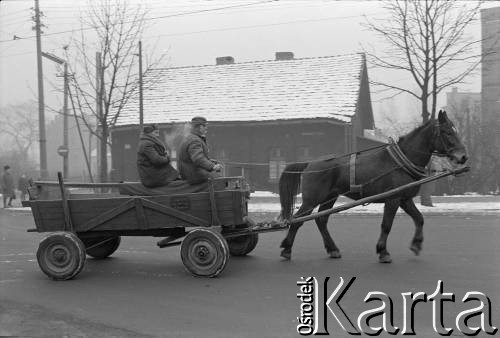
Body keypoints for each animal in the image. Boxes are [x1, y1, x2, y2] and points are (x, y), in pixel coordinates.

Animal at [280, 109, 466, 262]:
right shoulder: (393, 199)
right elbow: (386, 225)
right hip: (312, 199)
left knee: (321, 220)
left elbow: (419, 219)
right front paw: (383, 251)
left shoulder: (405, 199)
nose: (463, 156)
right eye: (447, 132)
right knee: (297, 220)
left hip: (329, 198)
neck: (402, 160)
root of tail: (310, 163)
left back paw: (332, 249)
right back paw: (287, 249)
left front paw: (416, 244)